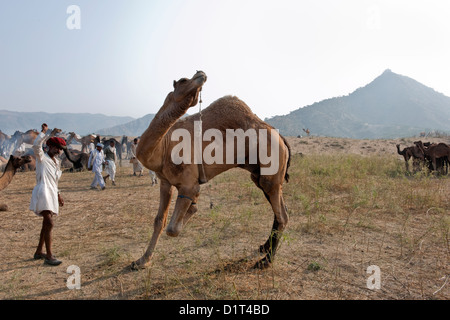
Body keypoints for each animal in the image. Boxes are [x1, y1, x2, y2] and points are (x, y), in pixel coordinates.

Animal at [130, 72, 292, 270]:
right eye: (184, 80)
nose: (200, 73)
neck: (164, 146)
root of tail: (282, 138)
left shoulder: (189, 184)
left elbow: (173, 228)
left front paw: (192, 208)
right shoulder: (165, 182)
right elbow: (159, 221)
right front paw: (142, 260)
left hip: (271, 172)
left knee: (282, 215)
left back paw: (266, 261)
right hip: (259, 174)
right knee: (278, 209)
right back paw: (264, 247)